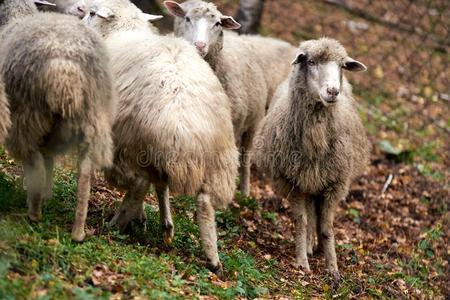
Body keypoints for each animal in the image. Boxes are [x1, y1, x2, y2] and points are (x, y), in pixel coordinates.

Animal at [0, 0, 117, 241]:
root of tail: (65, 69)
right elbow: (50, 160)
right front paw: (48, 193)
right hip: (93, 117)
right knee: (84, 172)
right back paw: (78, 232)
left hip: (28, 113)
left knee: (33, 161)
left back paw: (34, 212)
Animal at [83, 0, 239, 274]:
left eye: (92, 13)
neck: (122, 31)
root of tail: (183, 126)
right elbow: (162, 187)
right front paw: (166, 225)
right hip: (219, 159)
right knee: (204, 203)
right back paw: (212, 258)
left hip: (132, 141)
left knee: (138, 184)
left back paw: (116, 224)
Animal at [165, 0, 268, 197]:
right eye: (187, 18)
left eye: (217, 23)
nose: (199, 45)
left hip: (254, 122)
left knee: (246, 157)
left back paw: (244, 192)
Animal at [255, 38, 370, 278]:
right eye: (310, 61)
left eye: (343, 66)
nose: (333, 91)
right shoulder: (292, 181)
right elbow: (301, 221)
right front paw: (302, 263)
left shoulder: (335, 184)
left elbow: (326, 229)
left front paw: (333, 269)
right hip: (307, 180)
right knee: (309, 214)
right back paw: (308, 247)